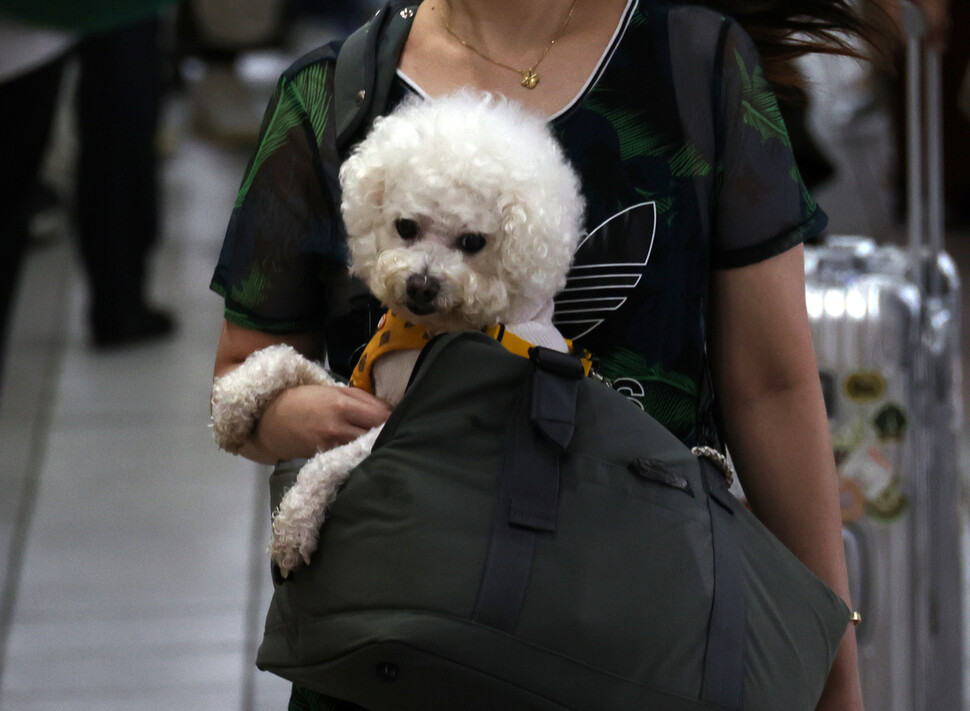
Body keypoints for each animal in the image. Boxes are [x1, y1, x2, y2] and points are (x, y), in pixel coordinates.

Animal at [211, 90, 584, 580]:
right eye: (406, 227)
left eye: (473, 242)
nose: (421, 285)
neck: (422, 332)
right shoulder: (358, 386)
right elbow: (281, 357)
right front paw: (232, 407)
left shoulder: (391, 421)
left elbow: (328, 462)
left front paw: (294, 525)